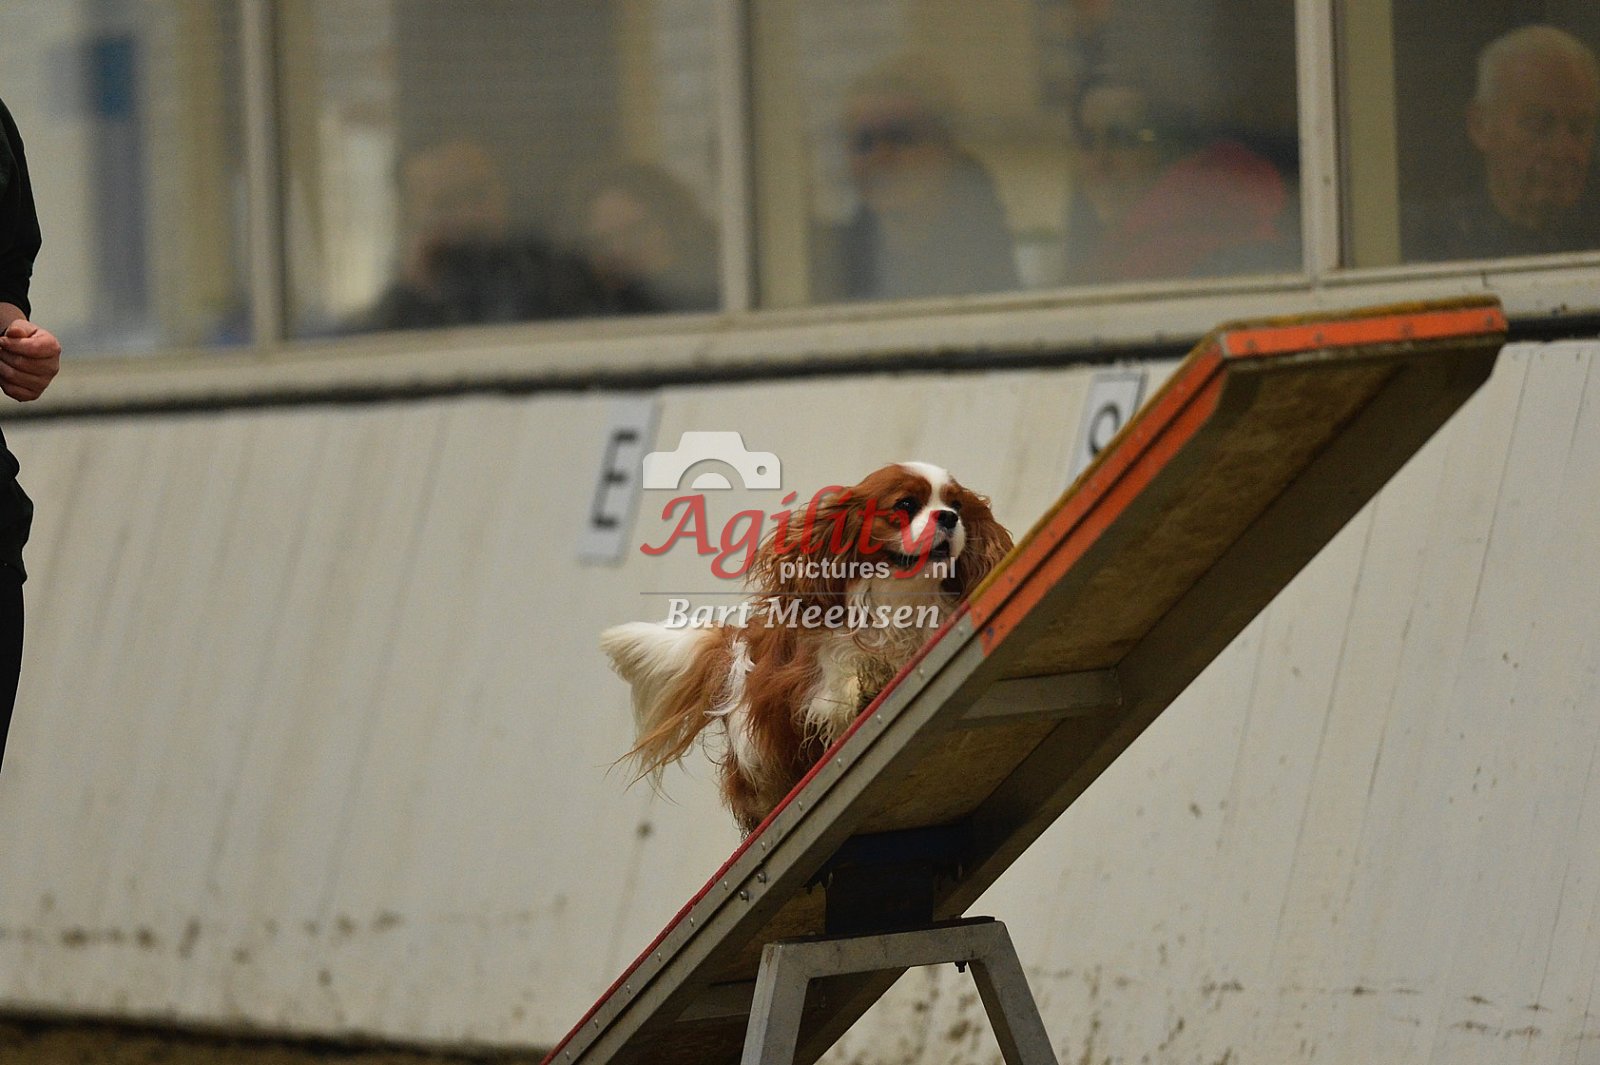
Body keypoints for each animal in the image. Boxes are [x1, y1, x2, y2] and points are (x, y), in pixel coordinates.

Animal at [601, 461, 1012, 834]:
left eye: (956, 505)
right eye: (906, 505)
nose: (948, 518)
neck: (901, 598)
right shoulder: (820, 676)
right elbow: (841, 687)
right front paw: (867, 685)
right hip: (756, 751)